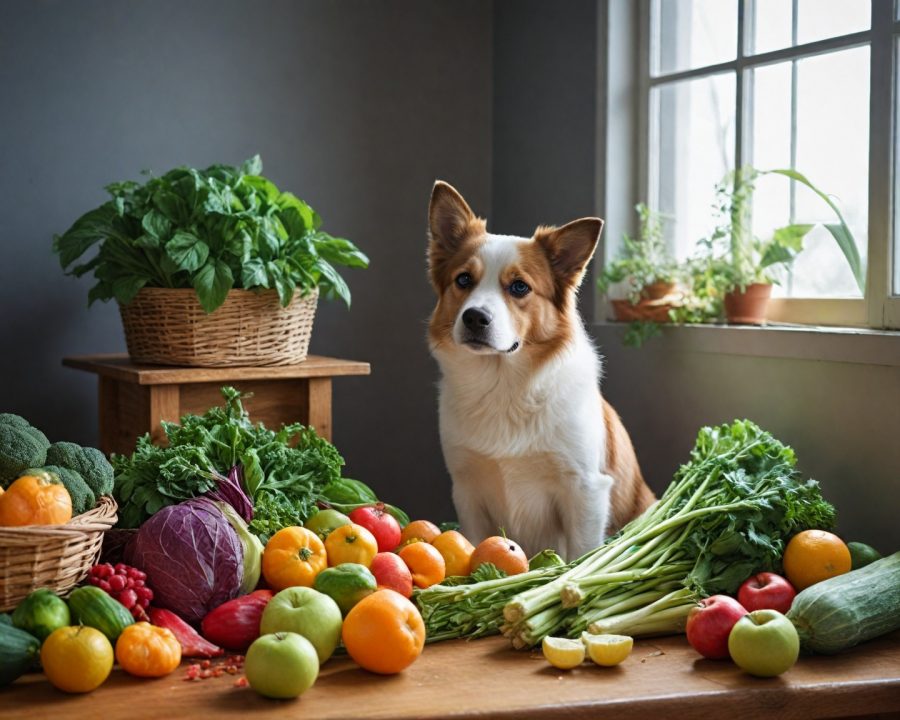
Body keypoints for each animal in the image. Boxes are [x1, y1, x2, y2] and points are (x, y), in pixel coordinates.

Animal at [426, 181, 652, 564]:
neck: (503, 385)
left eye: (519, 286)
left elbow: (579, 557)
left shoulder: (585, 490)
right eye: (464, 279)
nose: (474, 318)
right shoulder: (467, 489)